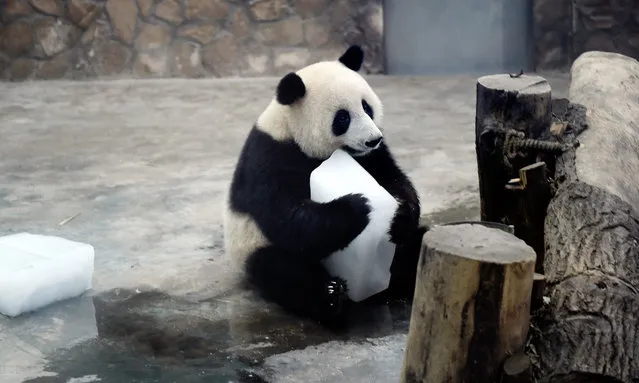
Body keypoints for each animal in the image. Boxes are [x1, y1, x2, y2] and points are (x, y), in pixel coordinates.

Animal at [222, 44, 428, 328]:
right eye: (342, 118)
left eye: (367, 107)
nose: (372, 139)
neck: (291, 127)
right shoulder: (270, 157)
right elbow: (286, 216)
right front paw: (358, 207)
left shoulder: (372, 157)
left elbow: (393, 178)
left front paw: (400, 214)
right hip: (250, 245)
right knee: (285, 274)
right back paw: (332, 297)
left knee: (414, 244)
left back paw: (407, 277)